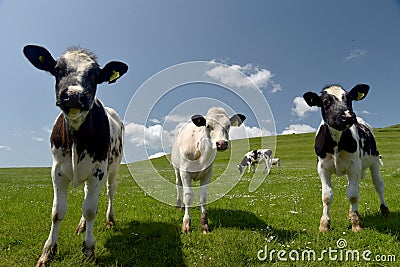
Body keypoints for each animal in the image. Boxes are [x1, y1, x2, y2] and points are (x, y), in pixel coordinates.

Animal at [22, 44, 128, 266]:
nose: (73, 95)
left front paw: (88, 250)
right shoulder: (57, 171)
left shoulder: (98, 170)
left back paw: (110, 219)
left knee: (110, 191)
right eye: (57, 69)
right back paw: (81, 226)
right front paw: (48, 252)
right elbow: (58, 212)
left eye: (95, 75)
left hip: (113, 166)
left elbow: (90, 210)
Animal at [304, 85, 390, 233]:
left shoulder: (354, 165)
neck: (336, 142)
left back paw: (384, 210)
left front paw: (356, 223)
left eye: (349, 99)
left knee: (378, 185)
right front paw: (324, 224)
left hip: (374, 162)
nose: (348, 116)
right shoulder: (322, 167)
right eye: (326, 102)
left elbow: (353, 195)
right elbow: (327, 196)